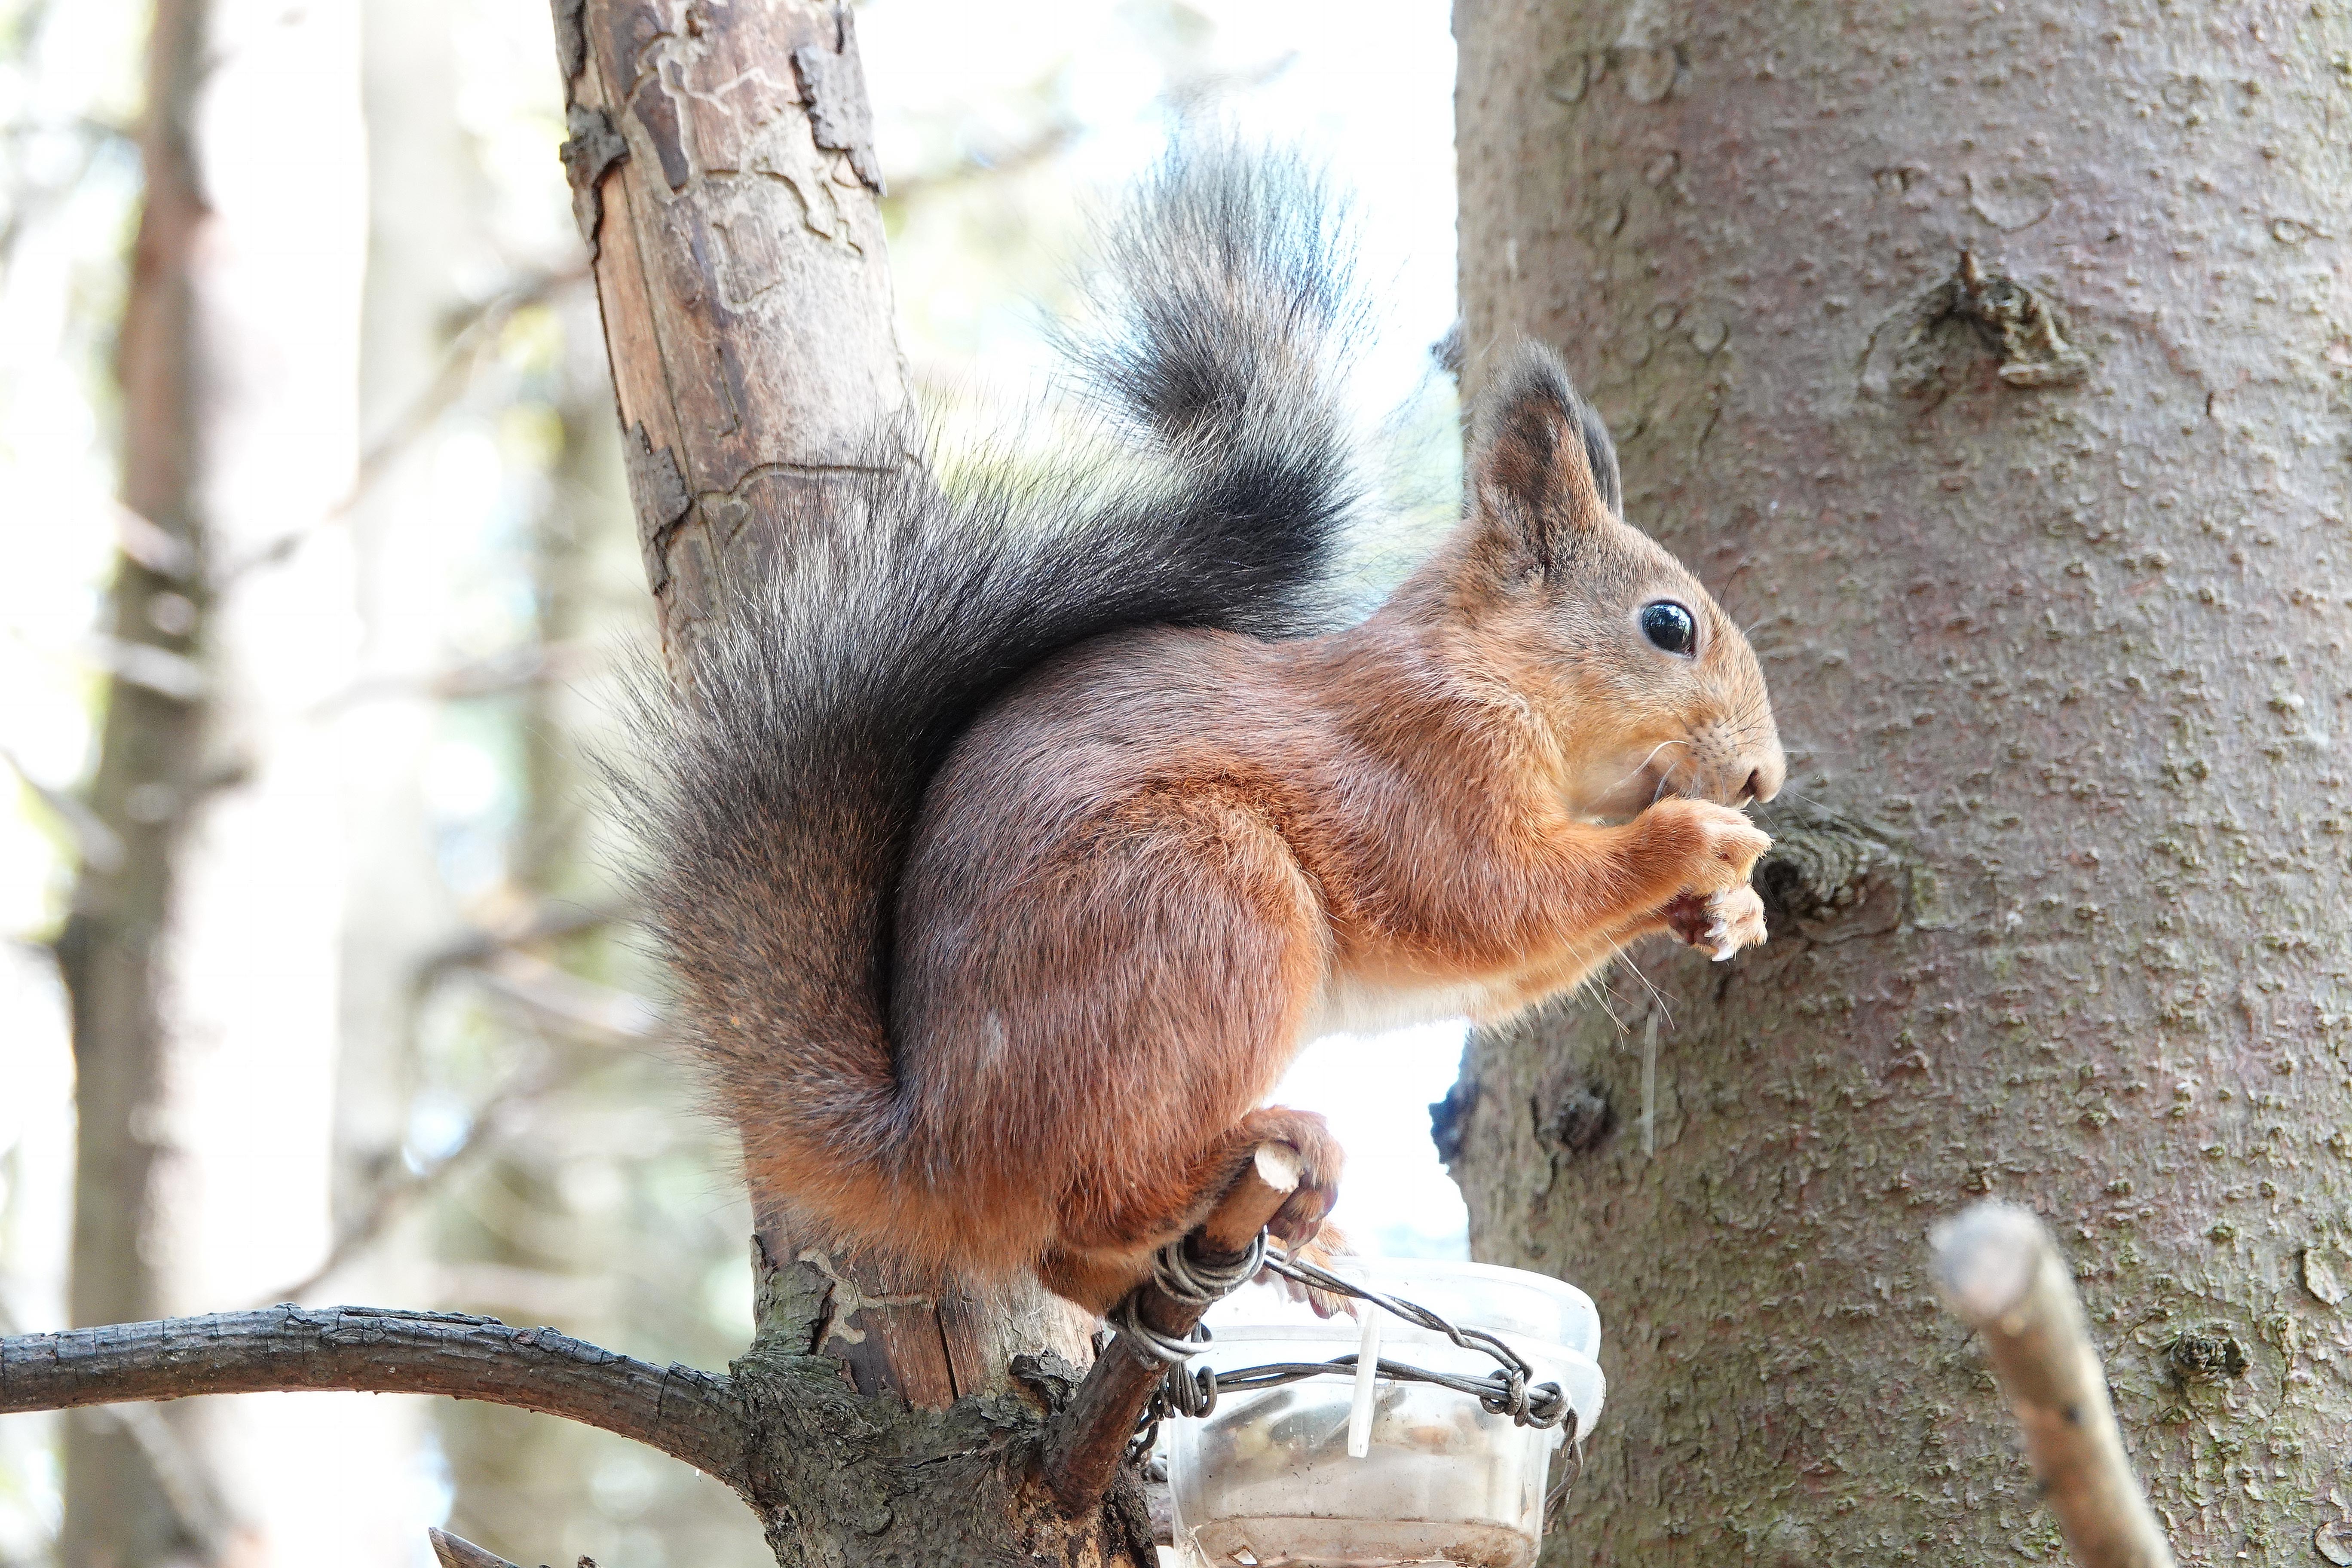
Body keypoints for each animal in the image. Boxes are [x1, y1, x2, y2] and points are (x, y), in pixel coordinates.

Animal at [630, 147, 1778, 1316]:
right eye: (1668, 626)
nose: (1763, 778)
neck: (1496, 676)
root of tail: (941, 1153)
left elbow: (1512, 963)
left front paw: (1725, 911)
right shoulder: (1422, 764)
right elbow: (1487, 898)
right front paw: (1693, 844)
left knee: (1071, 1255)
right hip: (1202, 899)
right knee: (1095, 1199)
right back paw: (1263, 1154)